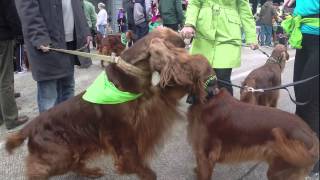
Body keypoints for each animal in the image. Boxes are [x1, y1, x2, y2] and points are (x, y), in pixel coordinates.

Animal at [5, 27, 214, 180]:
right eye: (179, 42)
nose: (190, 35)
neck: (130, 76)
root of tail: (30, 126)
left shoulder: (154, 103)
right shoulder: (123, 131)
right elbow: (132, 156)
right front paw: (142, 172)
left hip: (79, 145)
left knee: (75, 163)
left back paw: (91, 172)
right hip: (59, 155)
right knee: (38, 169)